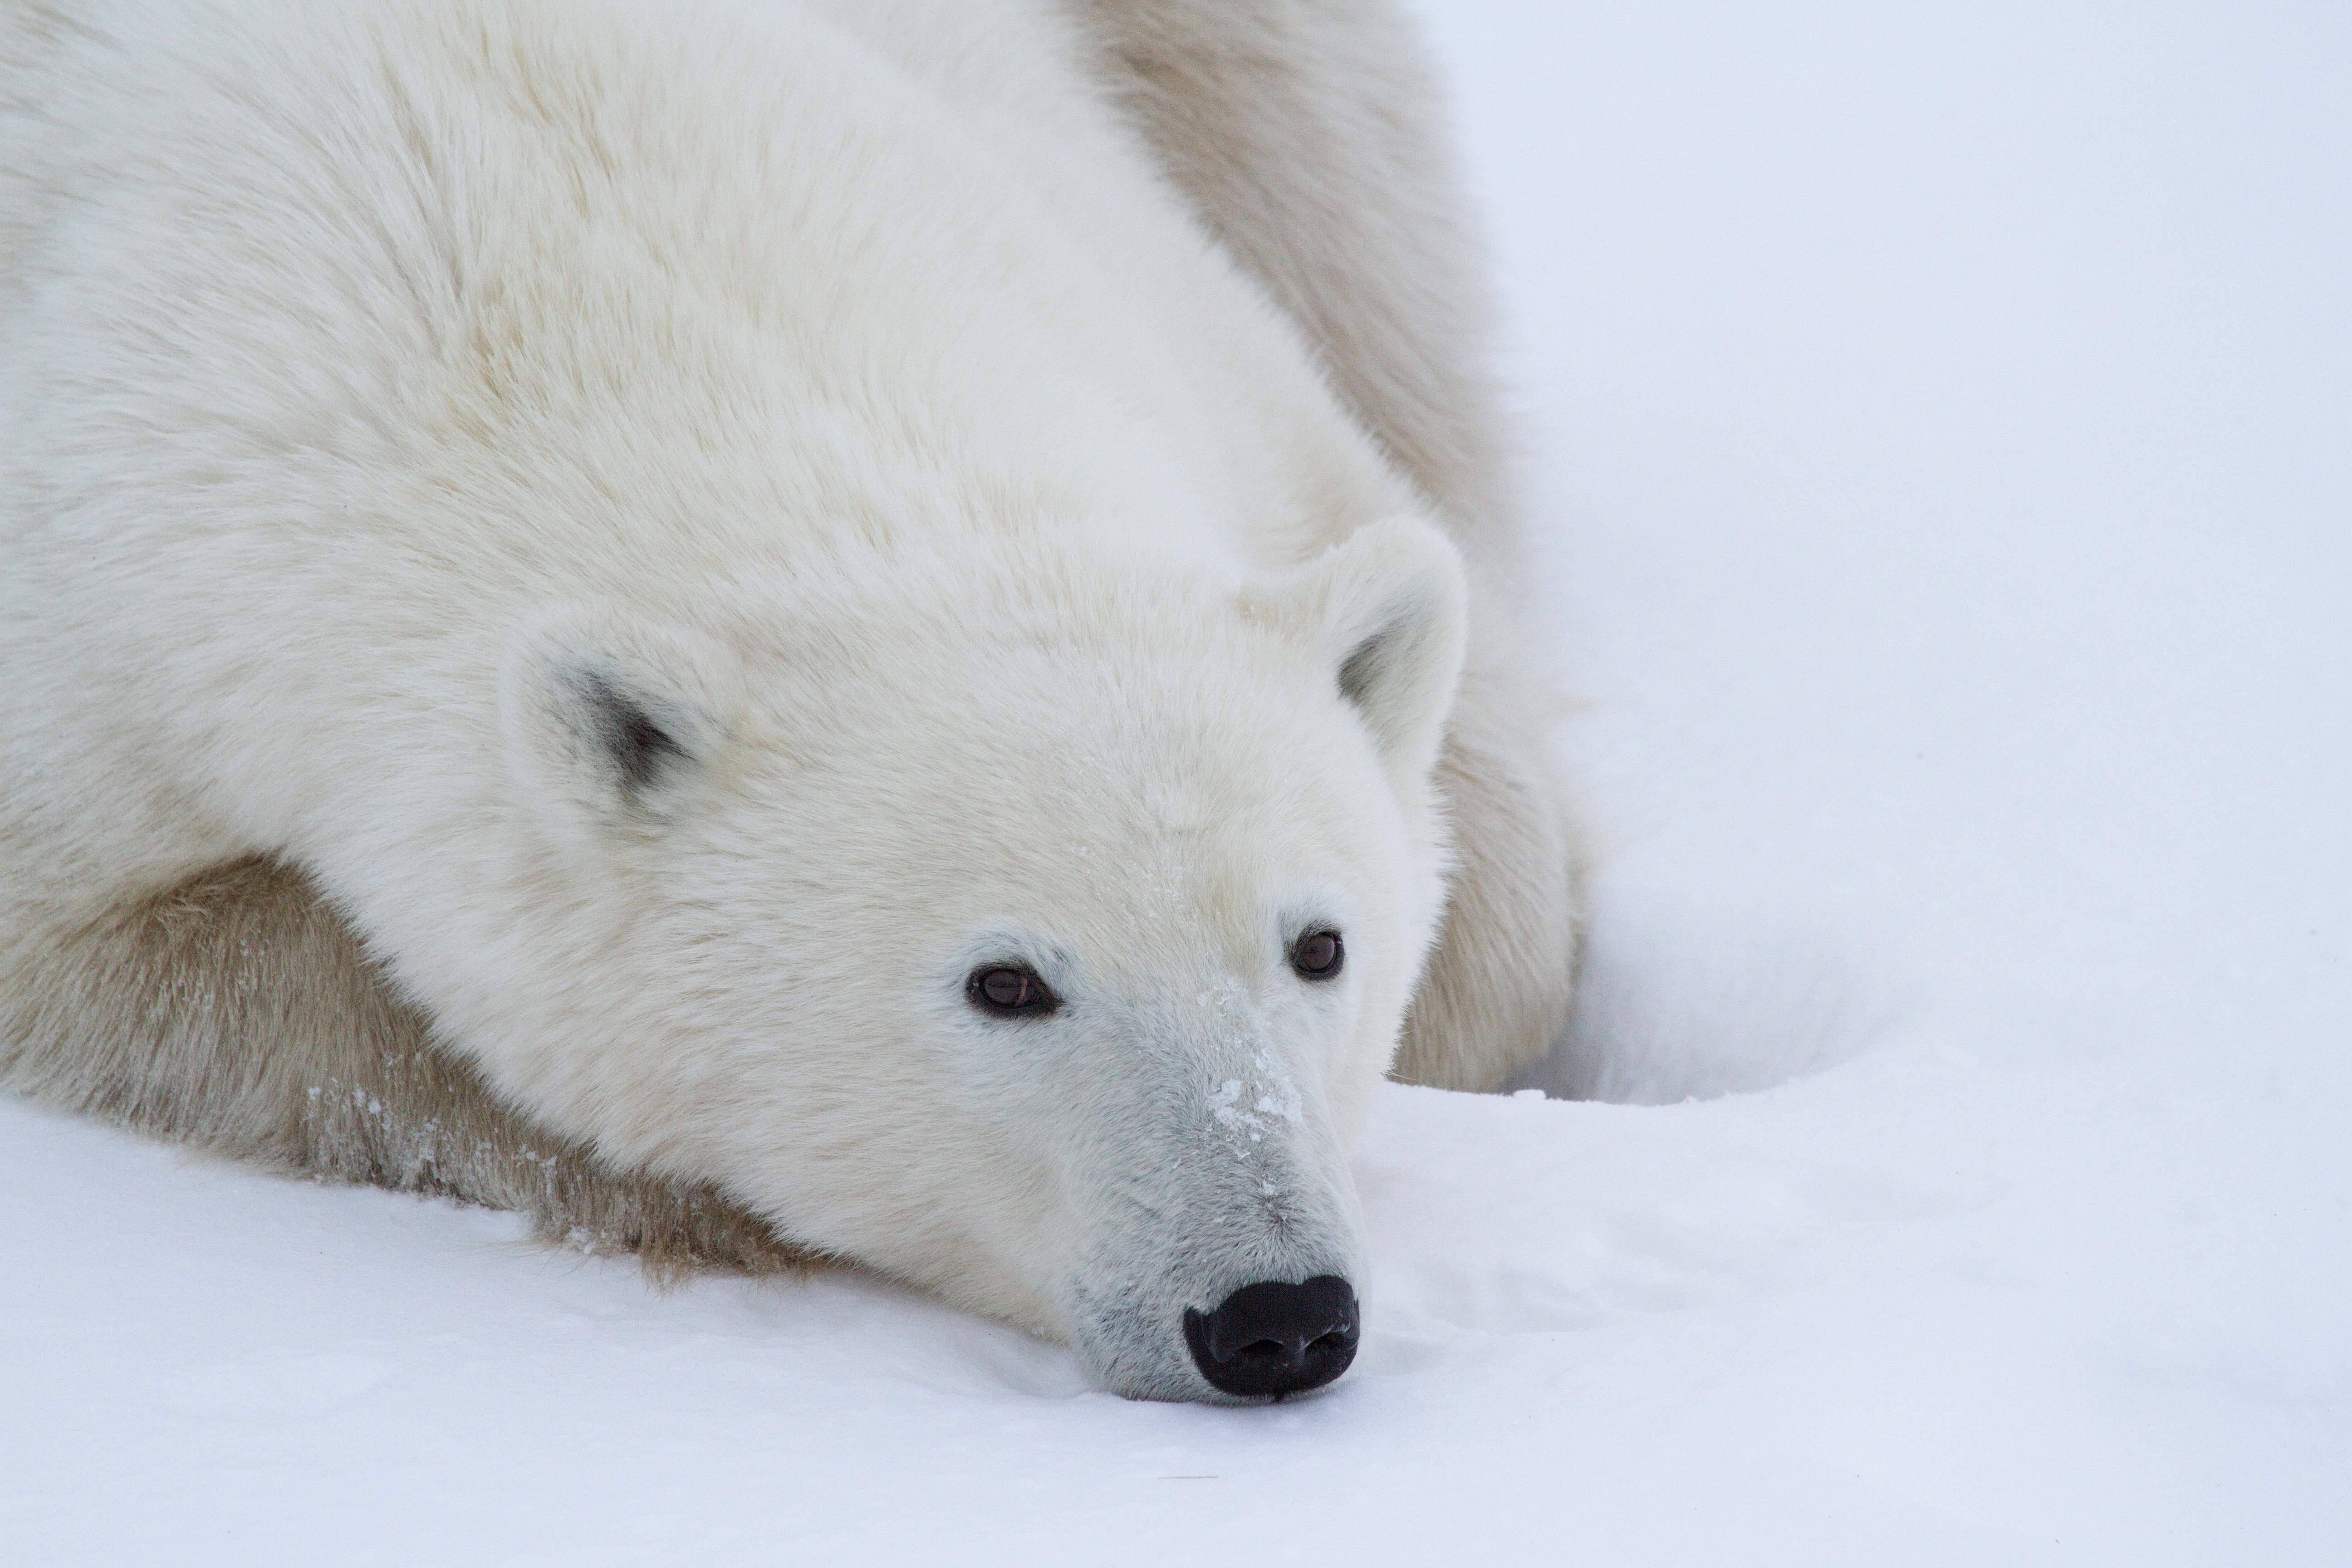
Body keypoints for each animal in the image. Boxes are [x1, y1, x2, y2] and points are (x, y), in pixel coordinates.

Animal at [0, 0, 1581, 1401]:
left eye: (1319, 946)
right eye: (1005, 982)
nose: (1274, 1314)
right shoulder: (95, 630)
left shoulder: (1143, 307)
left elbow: (1491, 890)